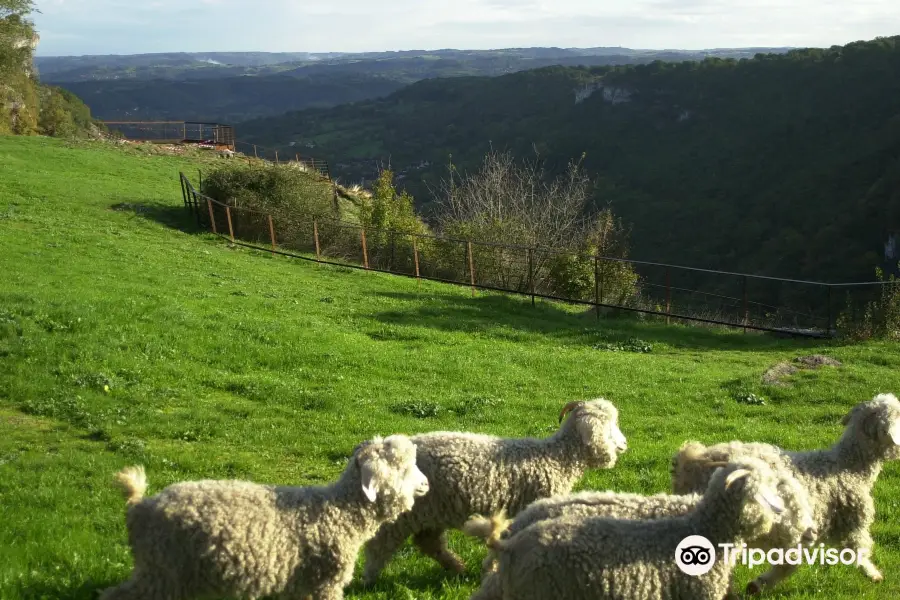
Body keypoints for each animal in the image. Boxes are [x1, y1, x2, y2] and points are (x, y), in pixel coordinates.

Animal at [100, 436, 430, 600]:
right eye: (402, 468)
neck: (340, 513)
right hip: (161, 572)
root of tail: (139, 507)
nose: (426, 484)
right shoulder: (325, 583)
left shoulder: (302, 586)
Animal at [358, 396, 624, 584]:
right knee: (381, 543)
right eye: (611, 426)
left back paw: (457, 567)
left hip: (433, 509)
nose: (624, 444)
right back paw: (369, 579)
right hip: (407, 511)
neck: (558, 458)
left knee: (428, 542)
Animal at [668, 392, 900, 592]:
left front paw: (757, 585)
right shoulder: (851, 522)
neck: (849, 466)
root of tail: (693, 461)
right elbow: (859, 550)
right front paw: (874, 575)